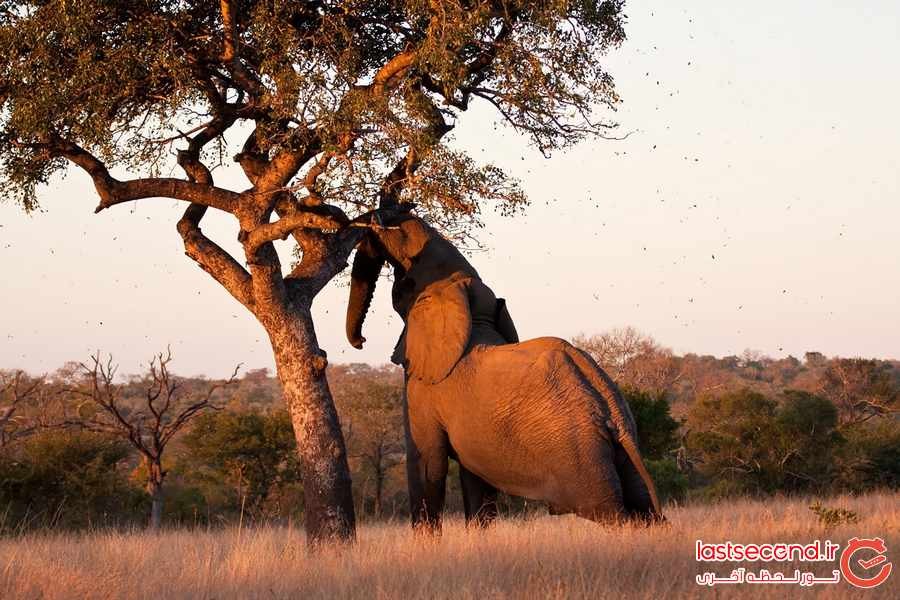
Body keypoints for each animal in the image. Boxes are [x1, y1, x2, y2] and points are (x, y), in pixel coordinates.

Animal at [345, 207, 661, 530]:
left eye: (403, 286)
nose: (360, 342)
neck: (467, 305)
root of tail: (614, 414)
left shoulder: (425, 386)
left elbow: (427, 463)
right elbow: (475, 480)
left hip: (579, 453)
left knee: (610, 511)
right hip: (616, 452)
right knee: (643, 507)